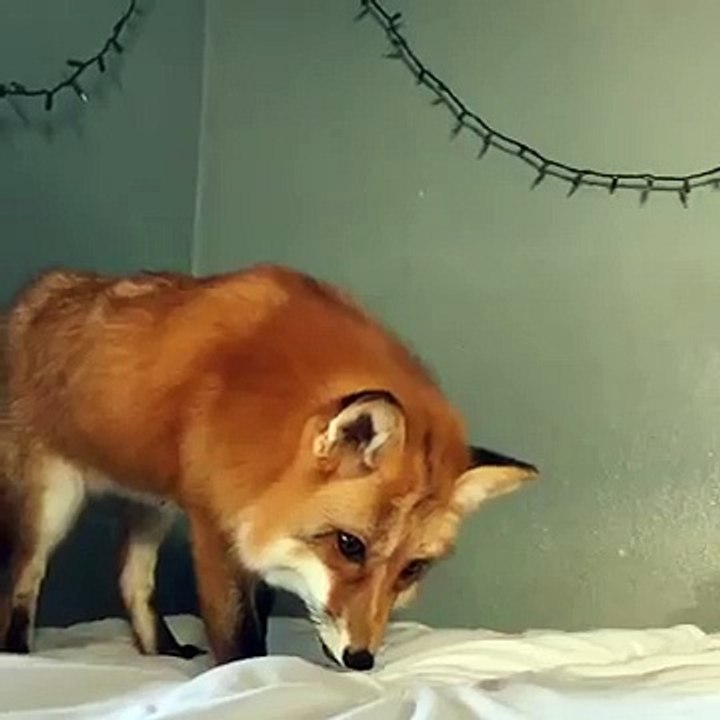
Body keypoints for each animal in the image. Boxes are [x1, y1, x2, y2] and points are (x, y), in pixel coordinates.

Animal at [0, 264, 537, 670]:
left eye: (412, 569)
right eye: (350, 545)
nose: (361, 660)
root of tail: (38, 290)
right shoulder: (217, 527)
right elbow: (239, 637)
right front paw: (247, 681)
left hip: (153, 506)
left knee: (132, 581)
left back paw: (162, 652)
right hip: (52, 504)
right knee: (22, 579)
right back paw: (18, 653)